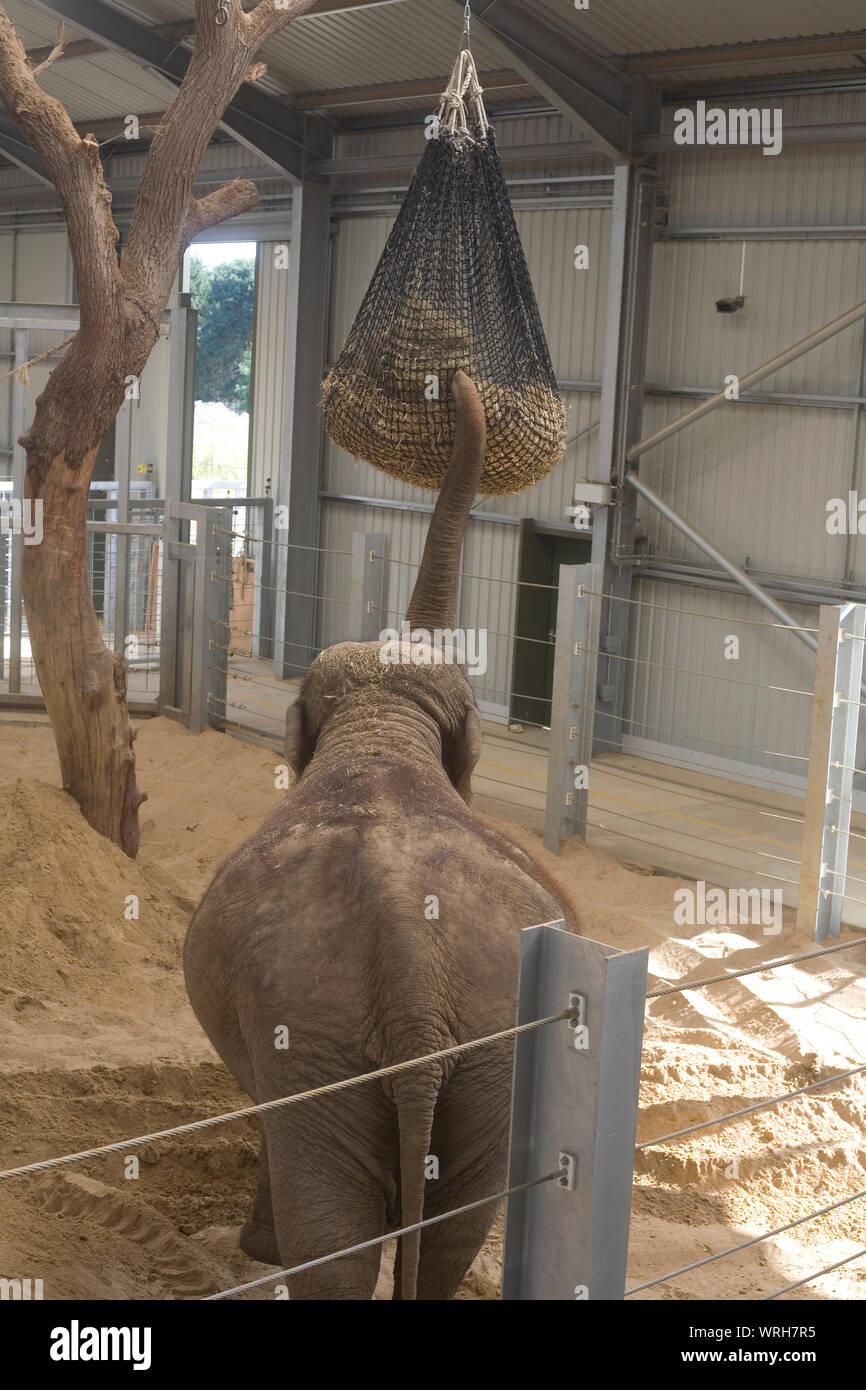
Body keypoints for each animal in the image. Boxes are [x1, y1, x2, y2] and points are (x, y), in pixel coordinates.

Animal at [183, 375, 575, 1295]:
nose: (456, 376)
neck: (383, 723)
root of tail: (413, 991)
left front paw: (257, 1246)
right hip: (477, 1065)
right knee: (454, 1227)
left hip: (322, 1051)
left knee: (337, 1242)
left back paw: (278, 1255)